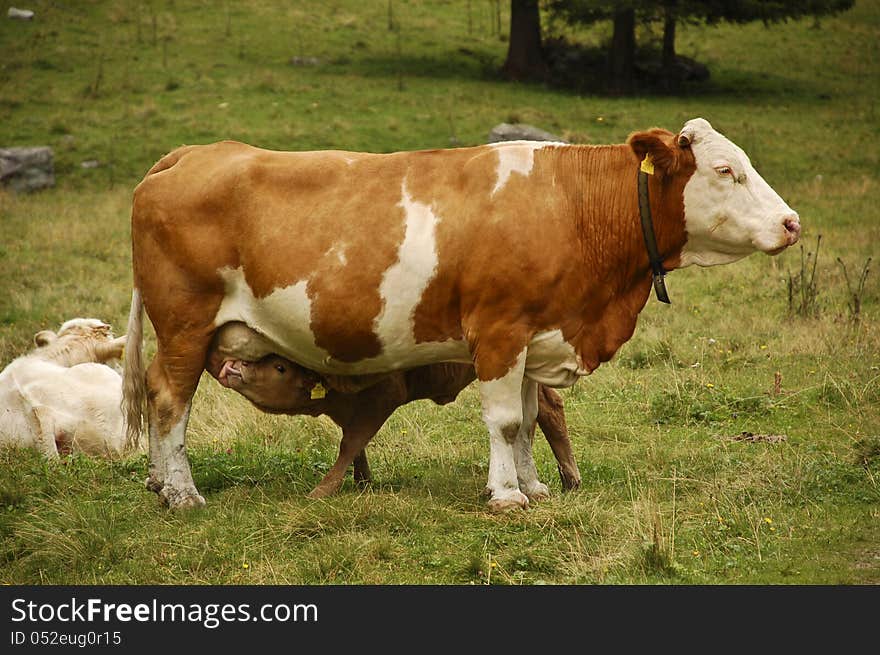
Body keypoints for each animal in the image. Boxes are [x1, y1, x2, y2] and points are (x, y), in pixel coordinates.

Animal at [204, 322, 580, 498]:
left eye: (279, 367)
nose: (233, 367)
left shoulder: (383, 398)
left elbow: (351, 442)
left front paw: (323, 489)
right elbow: (353, 444)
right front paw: (362, 479)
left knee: (546, 410)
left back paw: (569, 478)